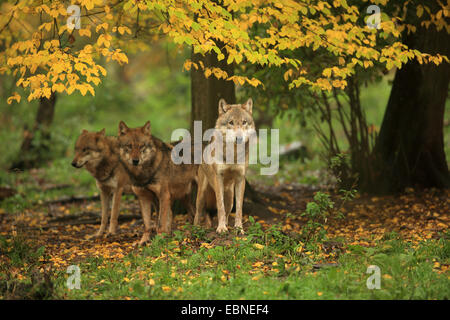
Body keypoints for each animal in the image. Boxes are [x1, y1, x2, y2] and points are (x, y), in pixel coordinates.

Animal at [194, 97, 255, 232]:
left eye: (244, 122)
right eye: (231, 122)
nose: (239, 138)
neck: (233, 154)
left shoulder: (240, 179)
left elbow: (239, 209)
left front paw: (239, 228)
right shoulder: (218, 178)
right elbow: (220, 207)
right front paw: (221, 229)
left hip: (230, 197)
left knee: (227, 211)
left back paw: (227, 224)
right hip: (202, 194)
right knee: (198, 212)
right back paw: (195, 227)